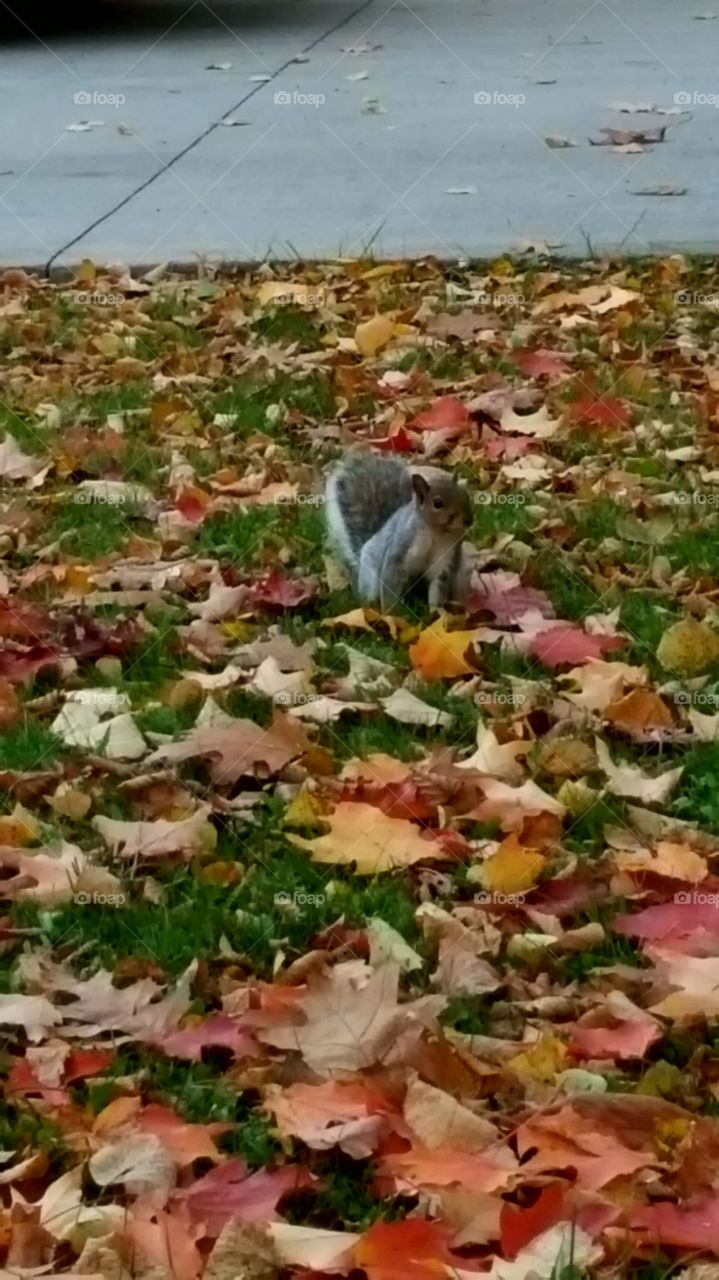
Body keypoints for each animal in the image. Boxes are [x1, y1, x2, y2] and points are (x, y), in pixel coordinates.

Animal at [325, 452, 472, 611]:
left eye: (466, 495)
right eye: (437, 503)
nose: (469, 520)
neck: (437, 531)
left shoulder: (446, 556)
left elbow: (438, 585)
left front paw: (437, 613)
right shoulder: (402, 545)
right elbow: (391, 576)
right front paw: (392, 612)